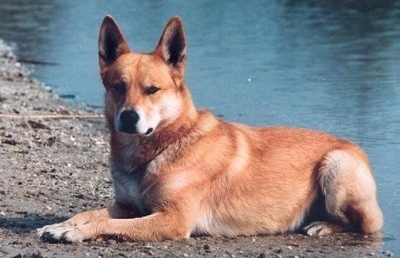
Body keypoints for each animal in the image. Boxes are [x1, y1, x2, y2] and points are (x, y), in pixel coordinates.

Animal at [38, 15, 384, 242]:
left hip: (337, 166)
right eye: (118, 87)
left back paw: (323, 225)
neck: (164, 146)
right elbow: (89, 213)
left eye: (153, 90)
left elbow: (109, 225)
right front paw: (63, 224)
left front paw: (76, 231)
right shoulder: (127, 207)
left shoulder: (172, 219)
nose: (128, 117)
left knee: (366, 224)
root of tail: (352, 146)